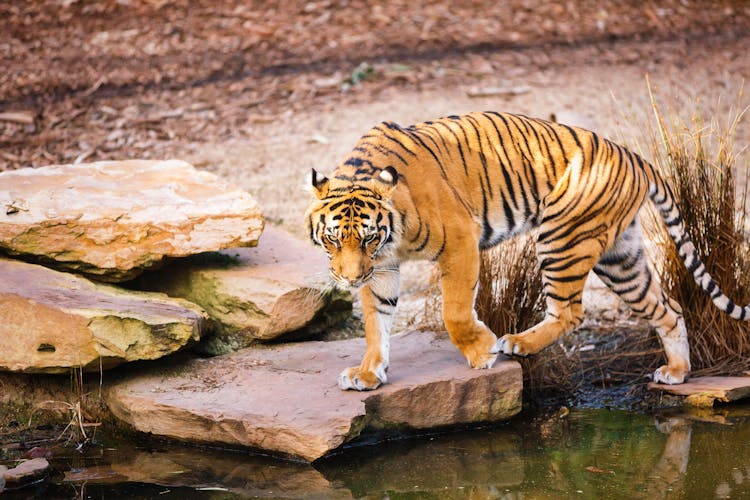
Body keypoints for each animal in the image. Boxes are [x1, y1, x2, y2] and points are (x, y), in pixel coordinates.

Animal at [306, 111, 750, 392]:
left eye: (367, 238)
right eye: (334, 239)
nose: (349, 278)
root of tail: (633, 155)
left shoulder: (460, 240)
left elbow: (454, 311)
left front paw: (482, 351)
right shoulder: (382, 268)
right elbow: (376, 323)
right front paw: (368, 374)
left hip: (562, 238)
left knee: (571, 312)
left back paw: (516, 343)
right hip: (620, 258)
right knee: (668, 308)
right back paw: (677, 371)